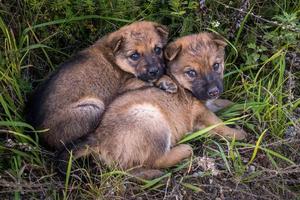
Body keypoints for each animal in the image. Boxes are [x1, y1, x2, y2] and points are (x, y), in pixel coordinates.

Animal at [26, 20, 169, 150]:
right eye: (134, 56)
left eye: (157, 49)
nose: (154, 71)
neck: (115, 58)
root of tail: (37, 134)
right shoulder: (126, 84)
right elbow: (147, 81)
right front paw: (165, 81)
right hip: (94, 108)